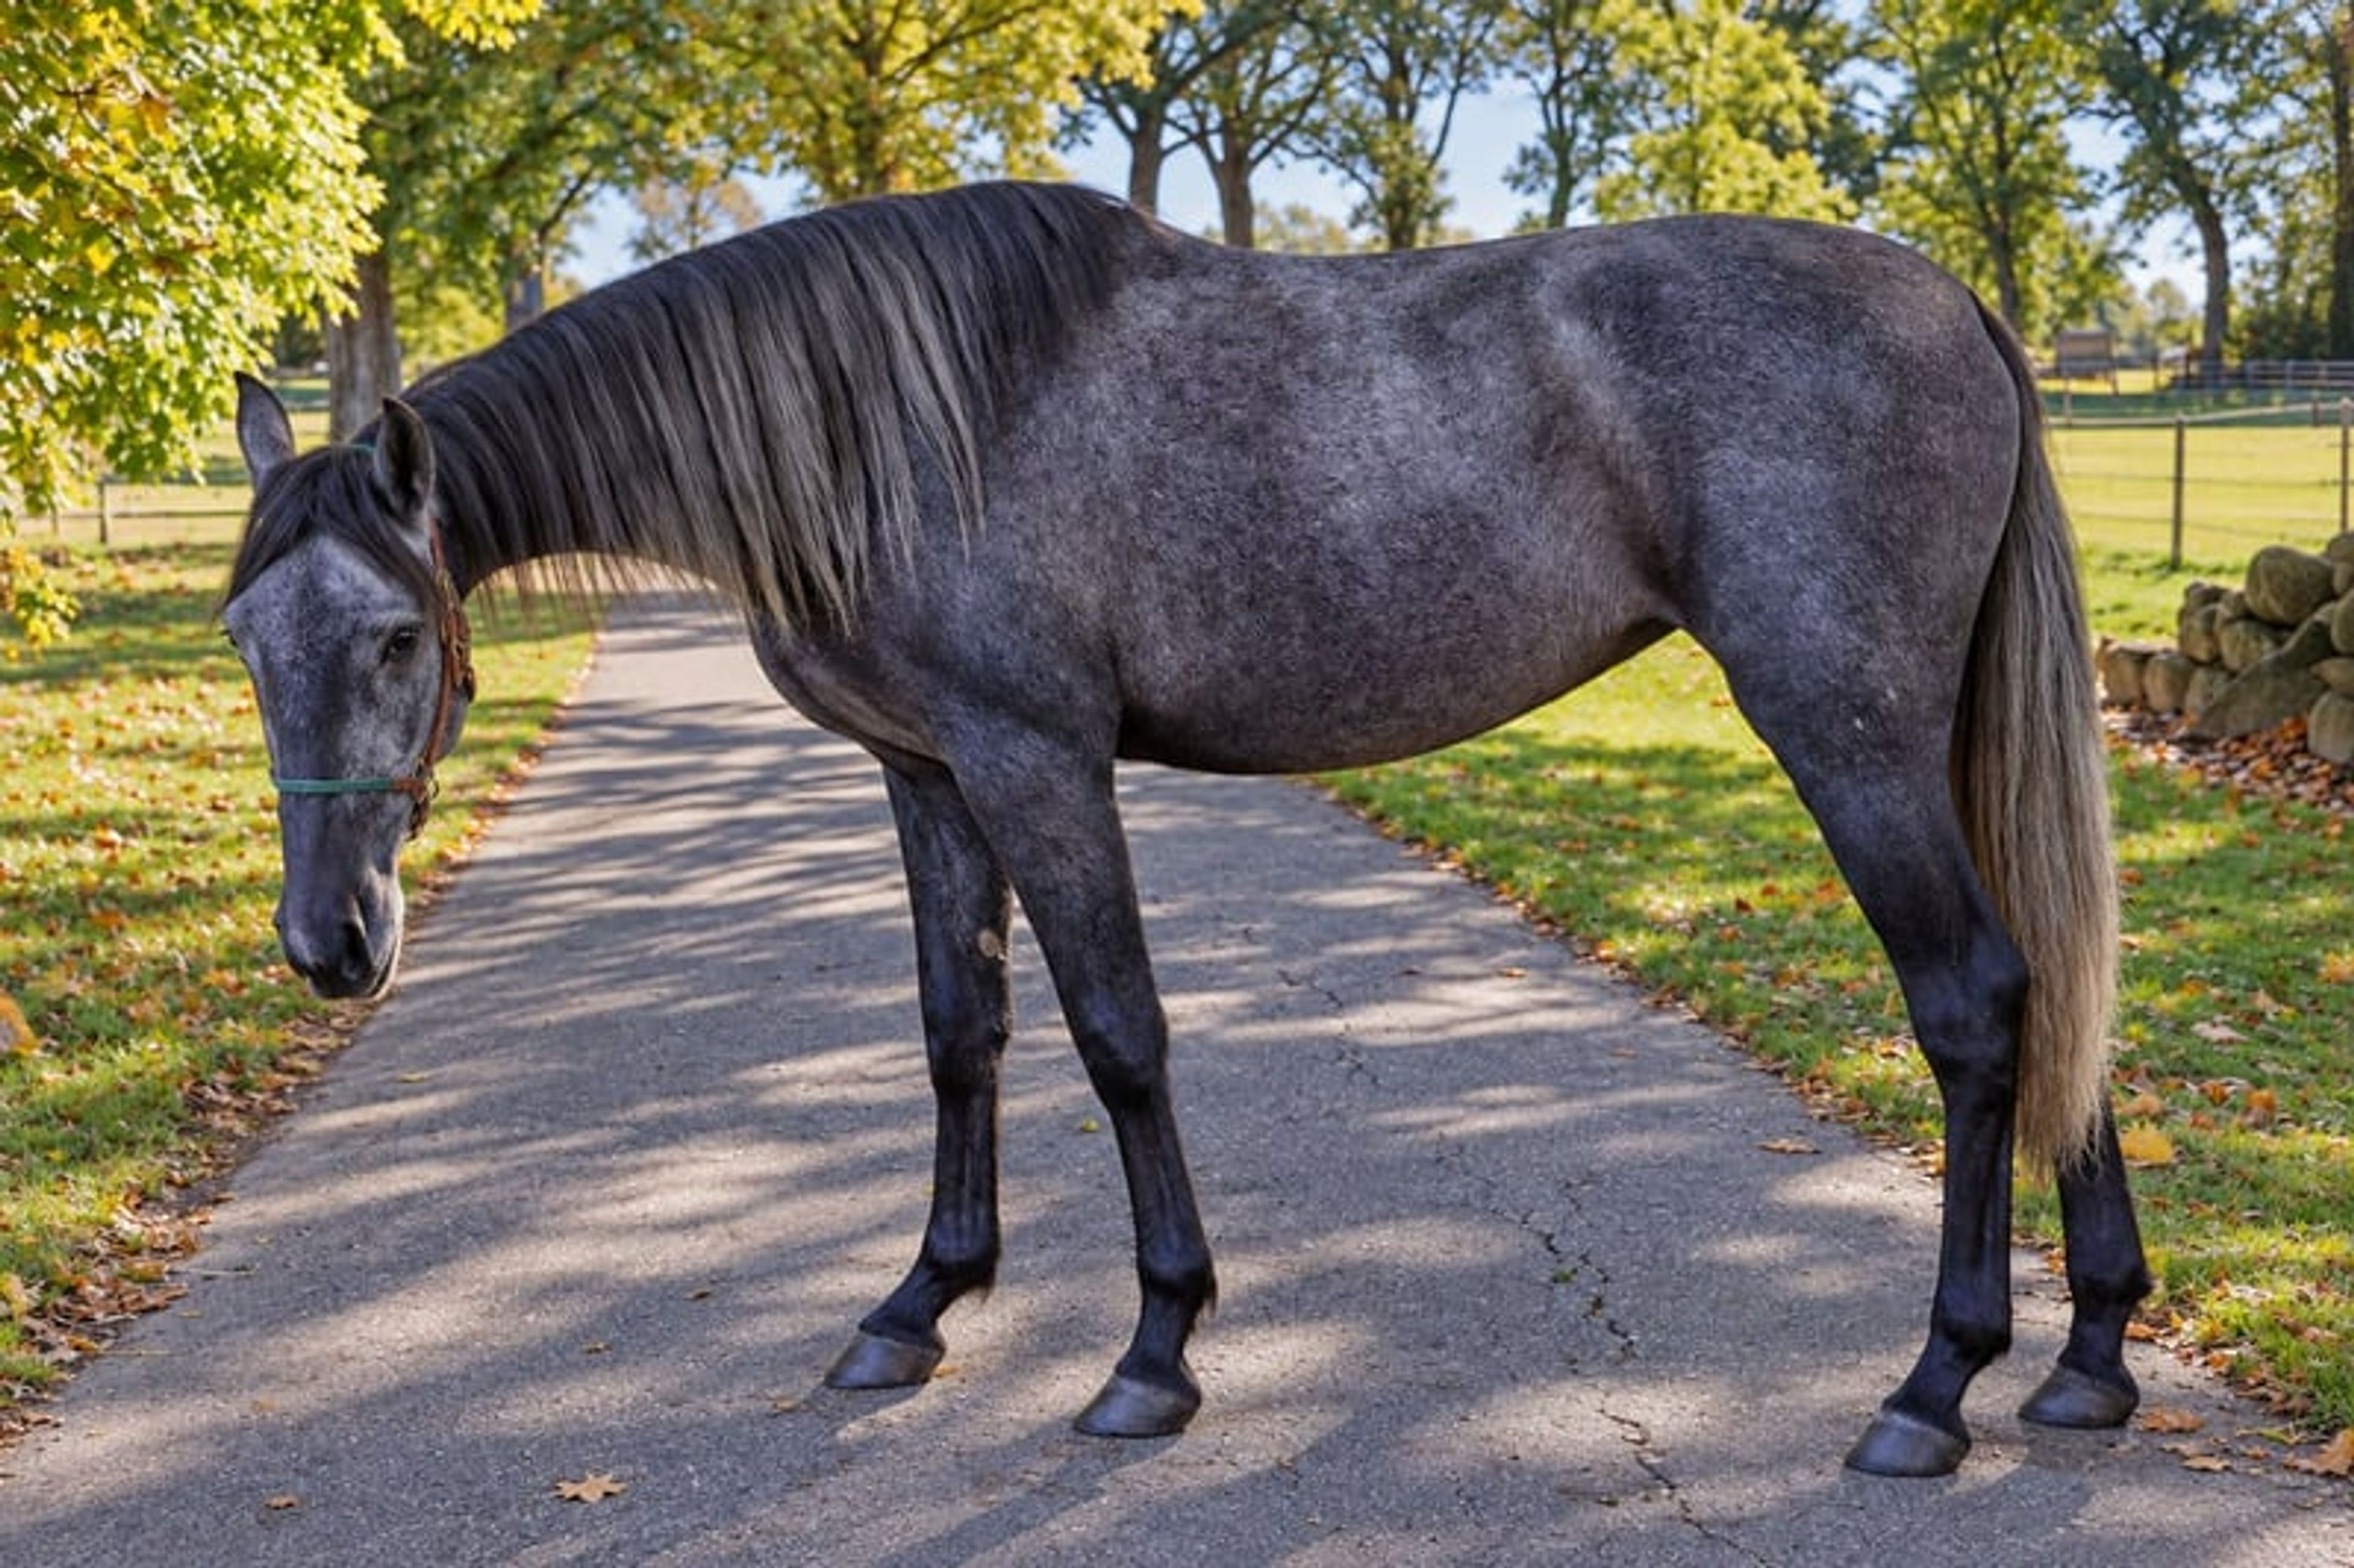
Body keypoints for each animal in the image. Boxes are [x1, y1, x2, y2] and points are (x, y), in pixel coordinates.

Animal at [222, 181, 2149, 1477]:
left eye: (394, 639)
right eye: (243, 637)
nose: (330, 944)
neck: (883, 426)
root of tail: (1954, 300)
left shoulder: (1037, 762)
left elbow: (1117, 1035)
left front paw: (1154, 1347)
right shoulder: (927, 774)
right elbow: (961, 1031)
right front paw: (919, 1303)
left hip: (1848, 738)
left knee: (1976, 1000)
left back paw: (1934, 1384)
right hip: (1939, 739)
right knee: (2056, 983)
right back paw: (2091, 1353)